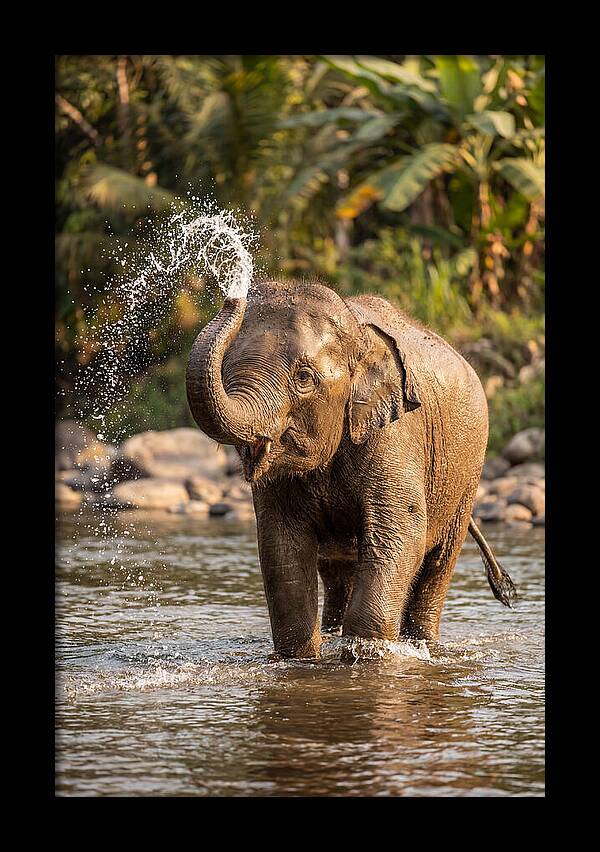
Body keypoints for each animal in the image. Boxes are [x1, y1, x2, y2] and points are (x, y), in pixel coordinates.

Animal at [186, 280, 516, 659]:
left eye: (304, 378)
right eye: (226, 369)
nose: (233, 294)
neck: (358, 334)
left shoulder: (395, 434)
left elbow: (400, 531)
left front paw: (366, 653)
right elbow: (281, 545)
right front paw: (302, 658)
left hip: (467, 476)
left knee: (437, 564)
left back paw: (423, 644)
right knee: (336, 570)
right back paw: (333, 632)